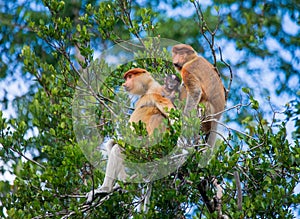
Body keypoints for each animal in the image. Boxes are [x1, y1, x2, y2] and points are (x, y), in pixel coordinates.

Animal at [85, 68, 175, 204]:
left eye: (130, 76)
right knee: (112, 144)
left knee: (118, 149)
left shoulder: (156, 91)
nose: (124, 83)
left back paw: (105, 189)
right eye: (127, 77)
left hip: (145, 149)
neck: (147, 88)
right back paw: (123, 180)